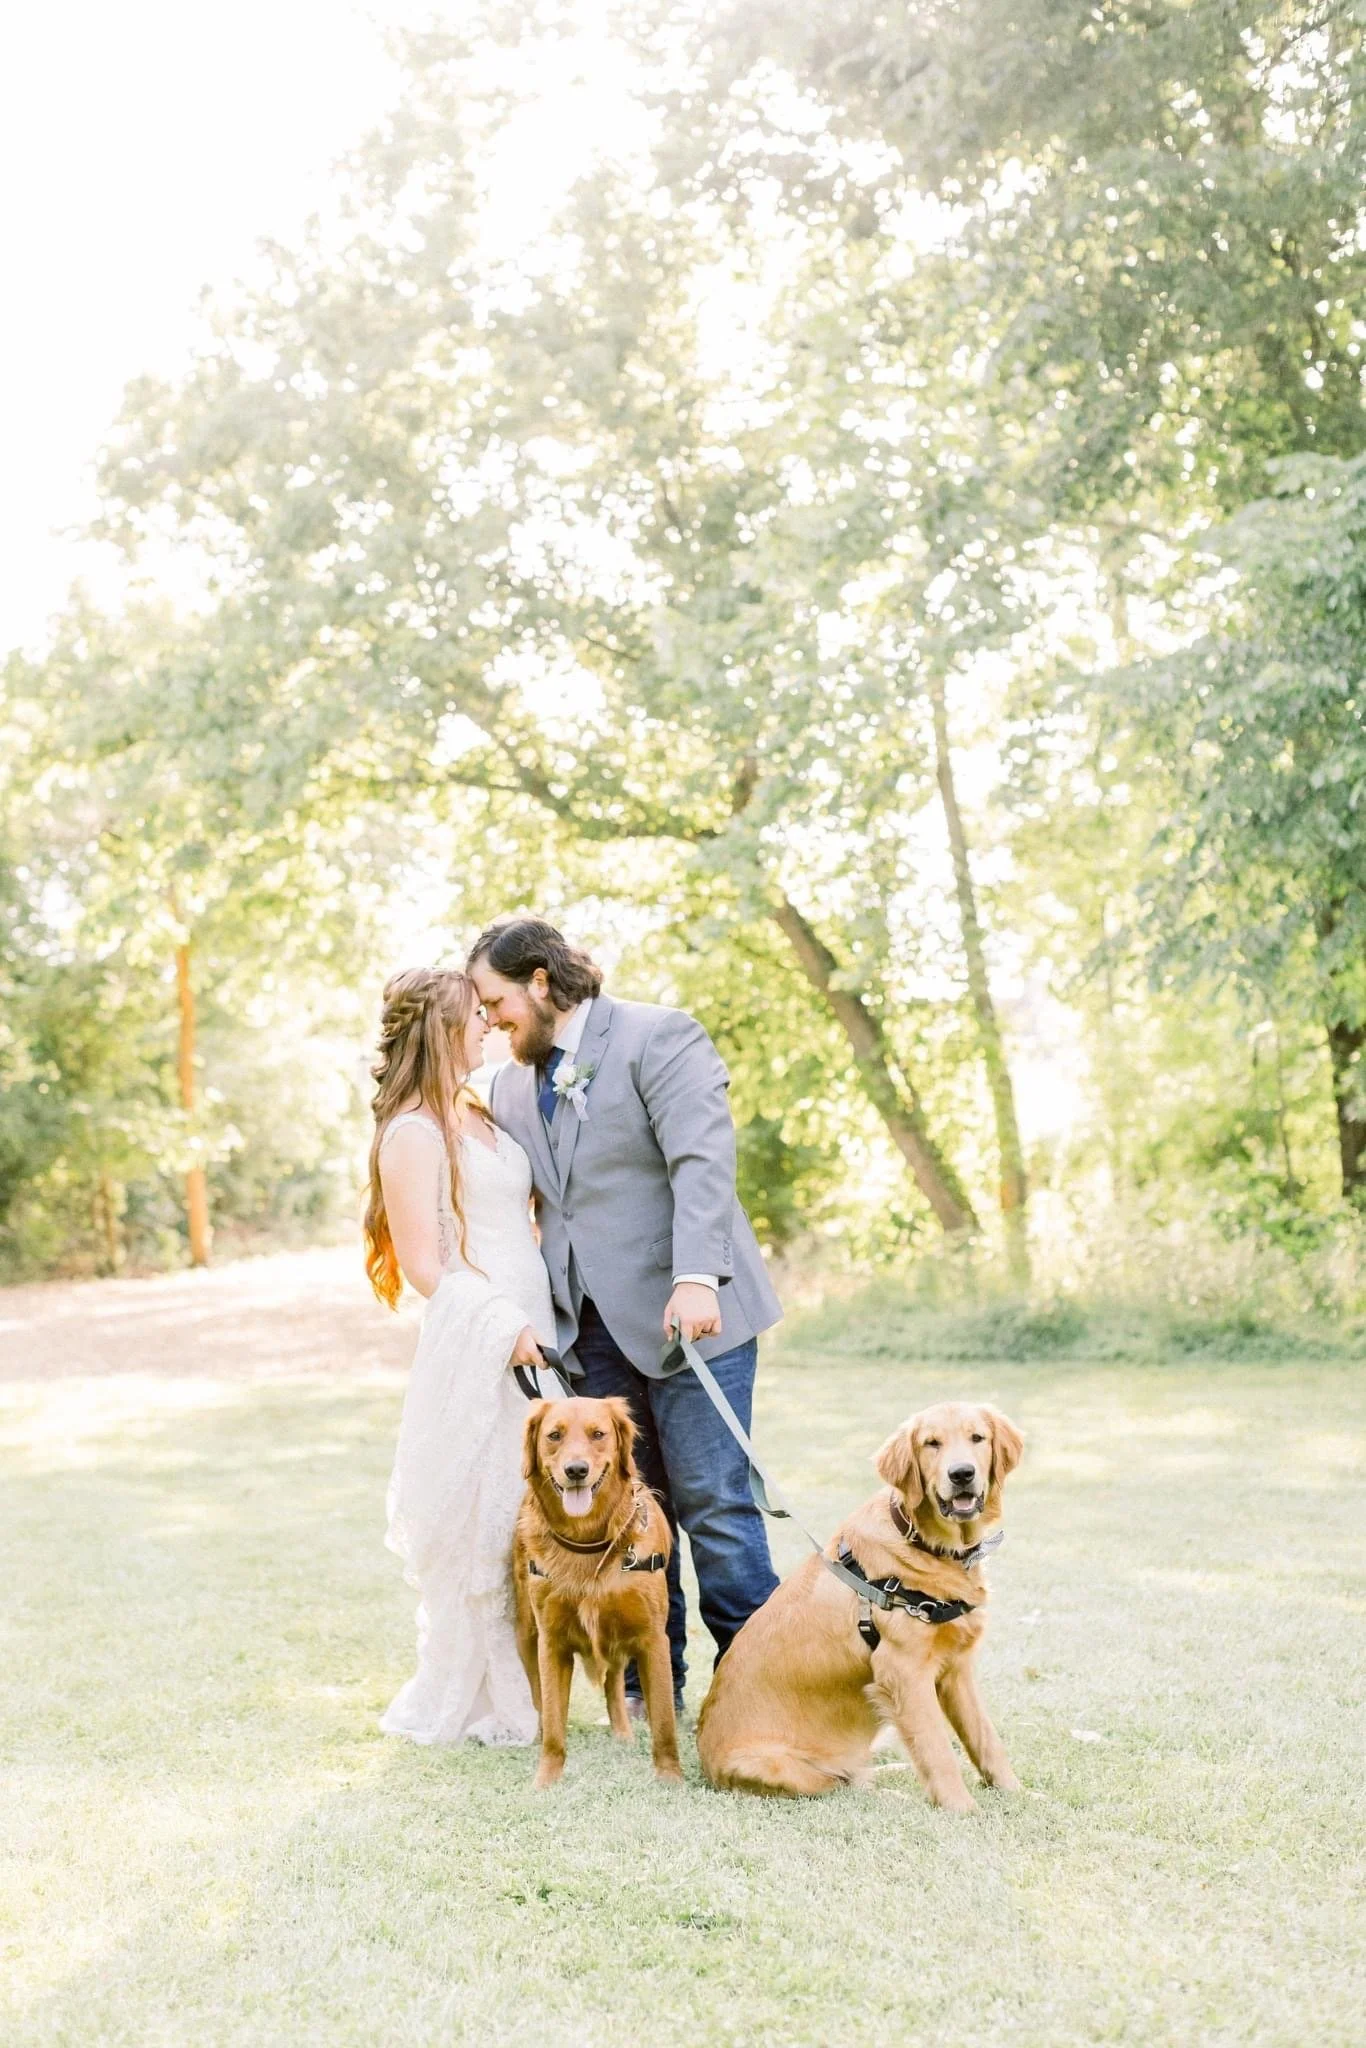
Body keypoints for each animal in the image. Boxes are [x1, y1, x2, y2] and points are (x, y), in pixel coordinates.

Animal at [513, 1396, 683, 1789]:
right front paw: (546, 1780)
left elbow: (664, 1721)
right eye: (554, 1436)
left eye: (598, 1434)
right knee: (539, 1698)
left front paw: (670, 1778)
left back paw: (623, 1732)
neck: (587, 1542)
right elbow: (554, 1721)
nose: (576, 1470)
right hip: (526, 1633)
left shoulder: (653, 1638)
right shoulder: (551, 1641)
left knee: (615, 1684)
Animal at [697, 1402, 1023, 1811]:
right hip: (779, 1767)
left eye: (977, 1437)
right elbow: (937, 1749)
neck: (924, 1544)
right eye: (931, 1443)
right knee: (842, 1784)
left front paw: (1017, 1793)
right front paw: (962, 1809)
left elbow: (985, 1739)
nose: (961, 1473)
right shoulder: (903, 1672)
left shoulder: (956, 1671)